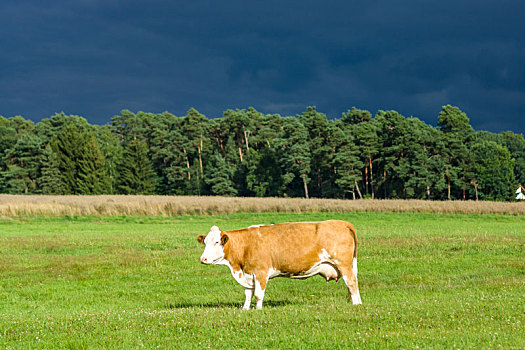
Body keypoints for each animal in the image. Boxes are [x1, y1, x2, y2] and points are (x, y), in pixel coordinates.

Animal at [196, 220, 360, 310]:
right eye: (205, 242)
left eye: (217, 242)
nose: (203, 259)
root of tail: (341, 223)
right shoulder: (248, 274)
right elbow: (248, 294)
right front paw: (245, 309)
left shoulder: (261, 272)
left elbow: (258, 294)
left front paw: (258, 310)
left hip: (344, 264)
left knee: (352, 283)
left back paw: (356, 305)